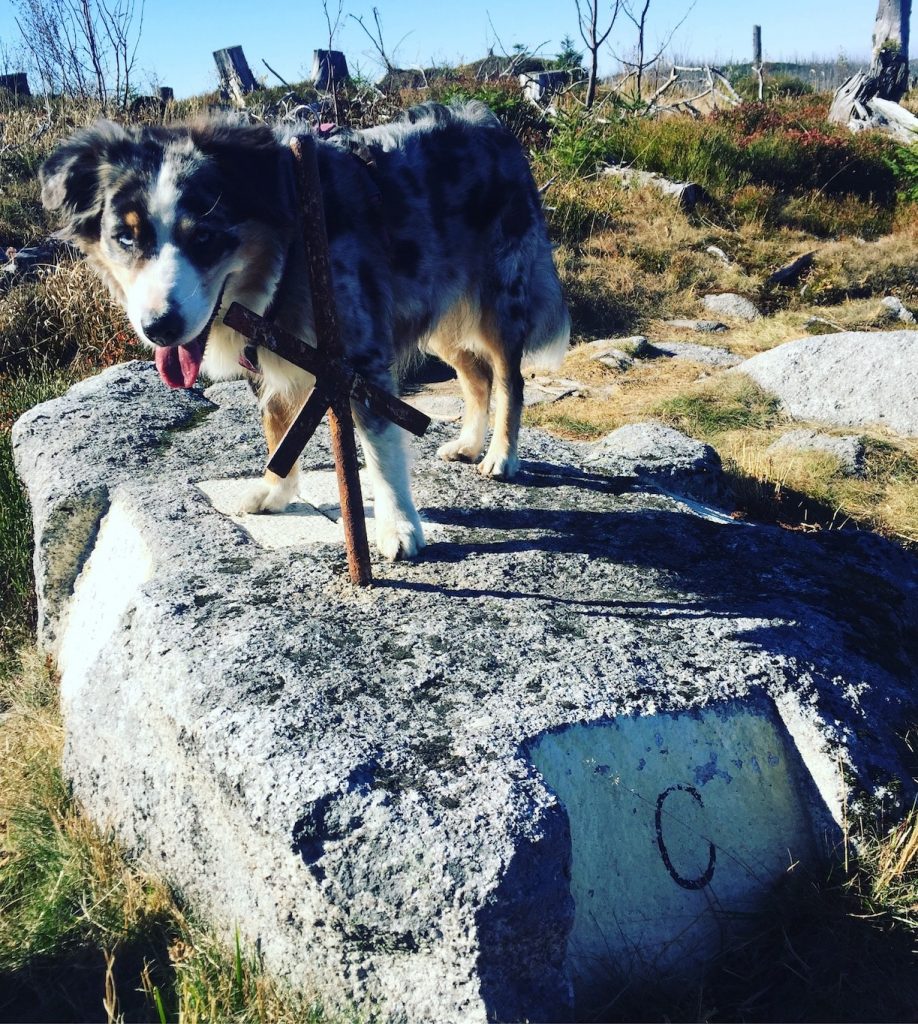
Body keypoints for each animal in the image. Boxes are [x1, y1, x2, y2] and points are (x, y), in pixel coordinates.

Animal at [43, 103, 569, 561]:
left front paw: (398, 527)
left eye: (205, 236)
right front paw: (276, 491)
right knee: (476, 375)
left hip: (498, 297)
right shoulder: (268, 346)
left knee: (508, 379)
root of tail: (492, 125)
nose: (161, 327)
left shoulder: (357, 354)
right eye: (125, 237)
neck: (288, 248)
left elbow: (380, 449)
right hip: (434, 306)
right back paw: (468, 443)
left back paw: (500, 455)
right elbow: (278, 425)